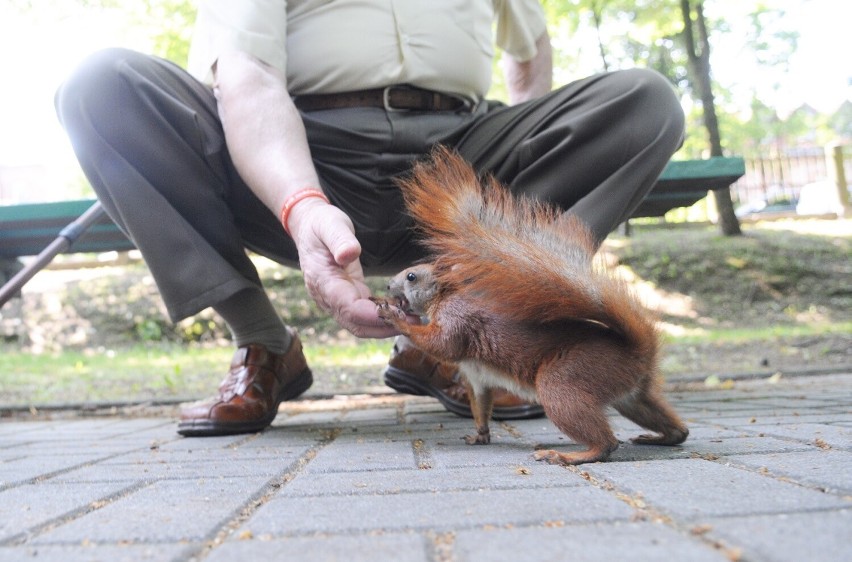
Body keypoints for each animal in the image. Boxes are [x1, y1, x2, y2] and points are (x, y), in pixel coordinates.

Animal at [372, 145, 684, 464]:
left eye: (411, 276)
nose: (388, 286)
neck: (443, 298)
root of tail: (638, 353)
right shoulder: (477, 378)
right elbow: (481, 407)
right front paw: (479, 435)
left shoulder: (459, 319)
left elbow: (442, 344)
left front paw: (395, 318)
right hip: (631, 398)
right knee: (666, 422)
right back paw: (663, 437)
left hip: (564, 382)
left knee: (606, 444)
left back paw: (567, 455)